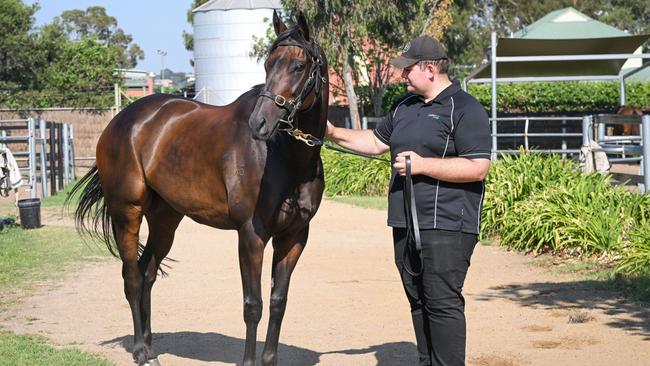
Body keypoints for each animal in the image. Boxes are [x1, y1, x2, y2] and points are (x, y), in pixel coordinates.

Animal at [69, 12, 330, 366]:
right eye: (267, 64)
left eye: (299, 66)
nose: (259, 123)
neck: (285, 156)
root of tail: (122, 120)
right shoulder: (251, 235)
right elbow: (253, 305)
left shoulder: (294, 236)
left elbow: (278, 301)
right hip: (127, 213)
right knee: (132, 278)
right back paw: (141, 352)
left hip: (165, 219)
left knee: (147, 273)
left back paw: (150, 346)